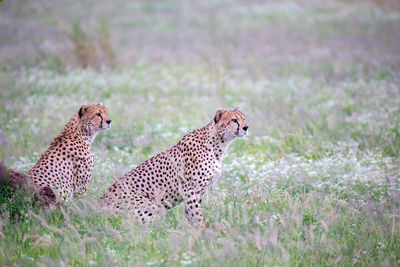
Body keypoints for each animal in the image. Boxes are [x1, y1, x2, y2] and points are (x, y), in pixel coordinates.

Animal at [101, 108, 247, 229]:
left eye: (243, 119)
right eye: (234, 120)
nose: (246, 127)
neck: (218, 144)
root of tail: (98, 204)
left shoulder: (199, 190)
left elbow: (190, 212)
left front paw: (191, 230)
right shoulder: (189, 189)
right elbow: (196, 213)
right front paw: (202, 231)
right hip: (149, 205)